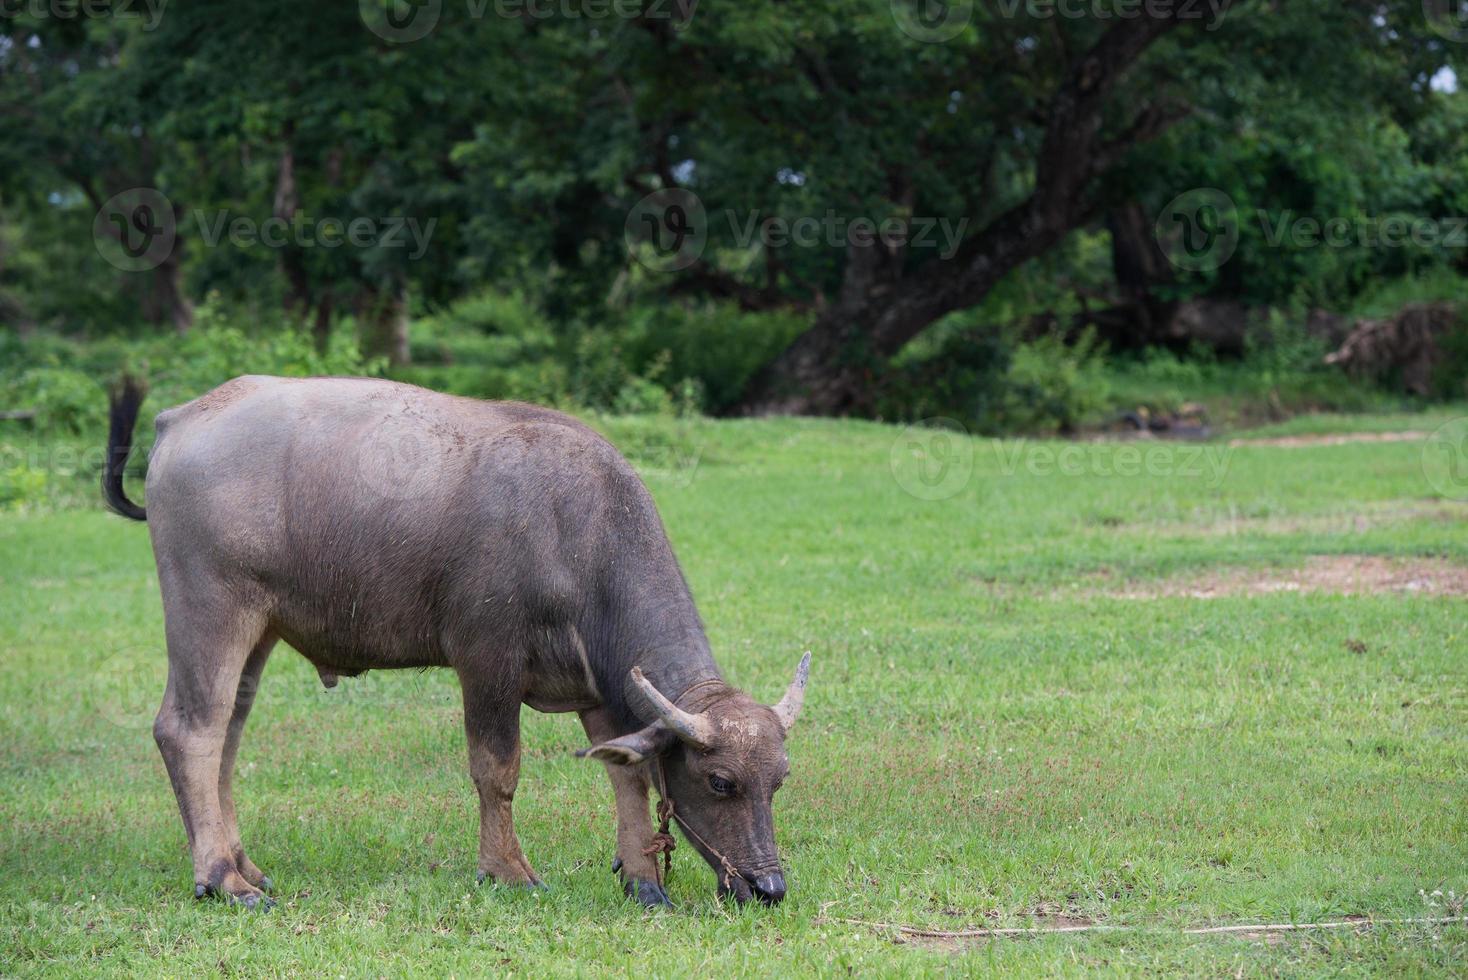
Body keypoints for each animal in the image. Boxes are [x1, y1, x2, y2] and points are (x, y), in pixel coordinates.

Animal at [104, 375, 810, 909]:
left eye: (778, 780)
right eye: (720, 782)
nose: (768, 887)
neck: (574, 531)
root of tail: (178, 420)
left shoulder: (598, 688)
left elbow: (626, 776)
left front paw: (642, 879)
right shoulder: (486, 659)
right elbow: (496, 769)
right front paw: (507, 870)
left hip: (260, 630)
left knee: (227, 734)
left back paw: (244, 865)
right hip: (210, 609)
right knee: (190, 730)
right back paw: (222, 880)